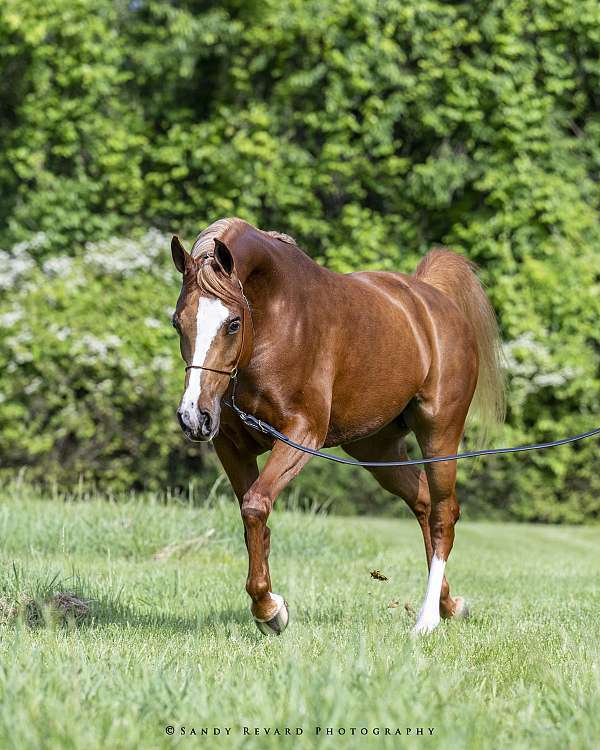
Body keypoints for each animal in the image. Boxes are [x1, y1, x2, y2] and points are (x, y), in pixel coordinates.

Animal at [170, 217, 505, 635]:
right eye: (177, 322)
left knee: (444, 514)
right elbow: (254, 519)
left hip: (439, 435)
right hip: (377, 449)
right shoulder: (231, 445)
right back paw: (448, 603)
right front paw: (271, 607)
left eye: (233, 323)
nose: (193, 416)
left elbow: (256, 505)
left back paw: (427, 620)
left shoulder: (301, 434)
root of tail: (432, 300)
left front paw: (269, 610)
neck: (280, 318)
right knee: (424, 503)